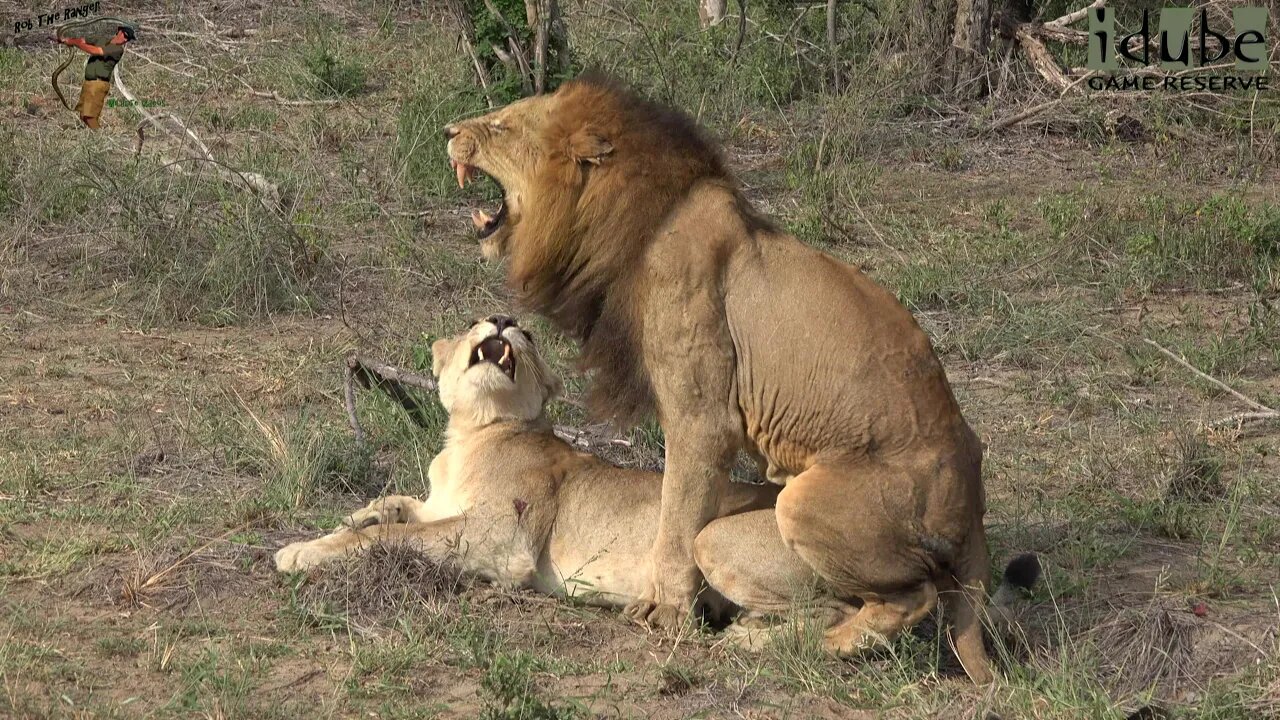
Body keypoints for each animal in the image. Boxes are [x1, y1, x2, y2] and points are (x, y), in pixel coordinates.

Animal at [445, 75, 1034, 681]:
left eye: (502, 126)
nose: (447, 131)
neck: (637, 221)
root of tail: (972, 497)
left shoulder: (701, 417)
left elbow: (678, 516)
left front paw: (663, 610)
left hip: (806, 503)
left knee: (914, 596)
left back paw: (821, 645)